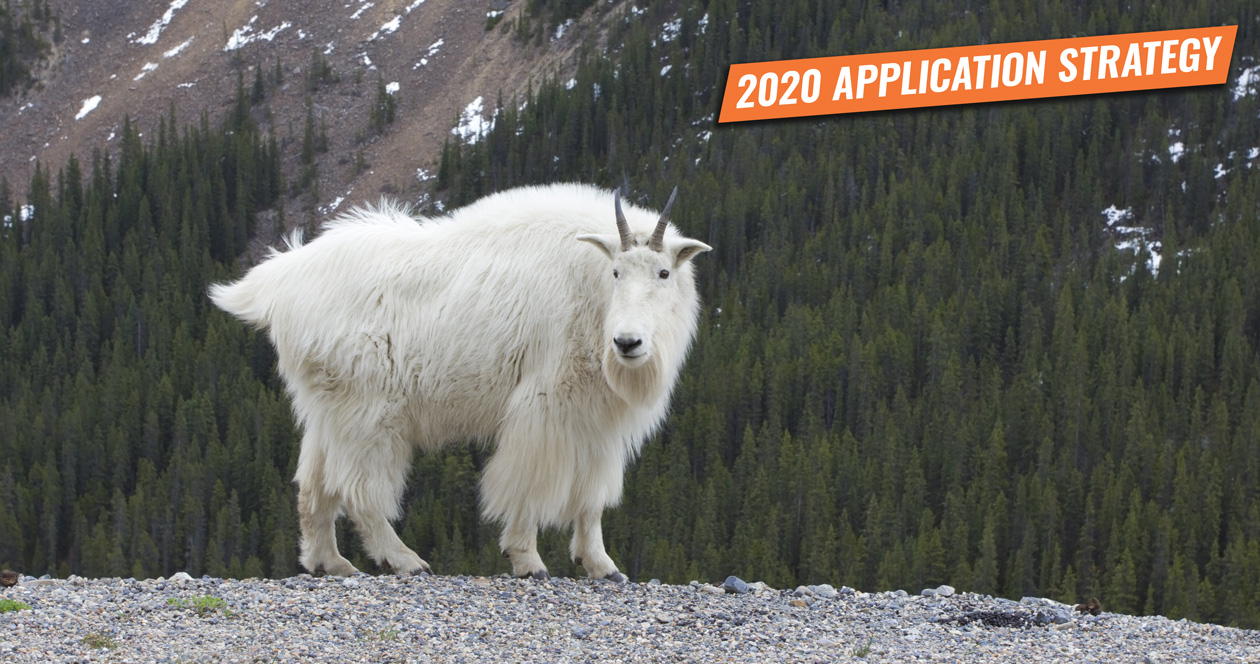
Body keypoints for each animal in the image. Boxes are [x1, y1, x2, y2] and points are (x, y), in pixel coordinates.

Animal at [209, 183, 711, 581]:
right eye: (616, 272)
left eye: (664, 272)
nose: (628, 342)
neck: (590, 289)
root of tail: (281, 283)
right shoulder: (544, 407)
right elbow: (528, 484)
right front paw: (527, 559)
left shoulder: (598, 422)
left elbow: (592, 497)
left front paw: (602, 565)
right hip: (370, 409)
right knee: (360, 489)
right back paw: (404, 559)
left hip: (328, 405)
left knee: (314, 483)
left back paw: (328, 562)